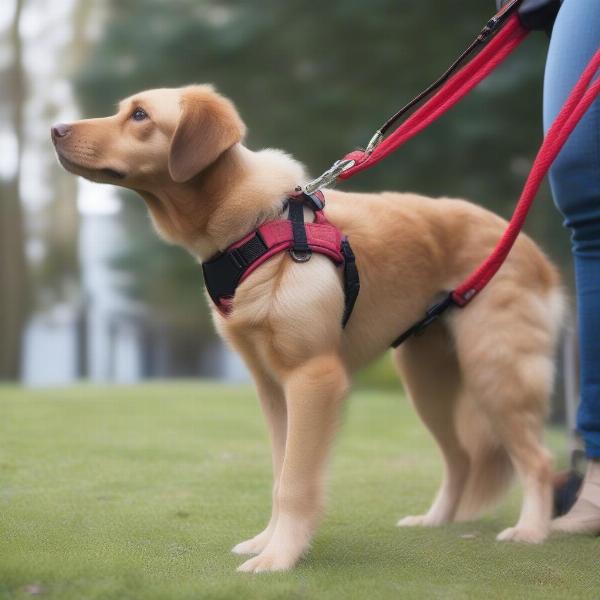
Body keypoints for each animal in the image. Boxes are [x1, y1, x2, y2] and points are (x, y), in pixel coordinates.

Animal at [51, 83, 564, 572]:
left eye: (139, 115)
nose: (55, 130)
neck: (254, 226)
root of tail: (533, 251)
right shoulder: (273, 387)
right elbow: (281, 474)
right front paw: (269, 542)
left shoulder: (313, 377)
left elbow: (294, 482)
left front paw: (279, 558)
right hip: (427, 382)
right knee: (460, 459)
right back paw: (435, 521)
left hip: (495, 372)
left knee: (538, 461)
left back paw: (532, 531)